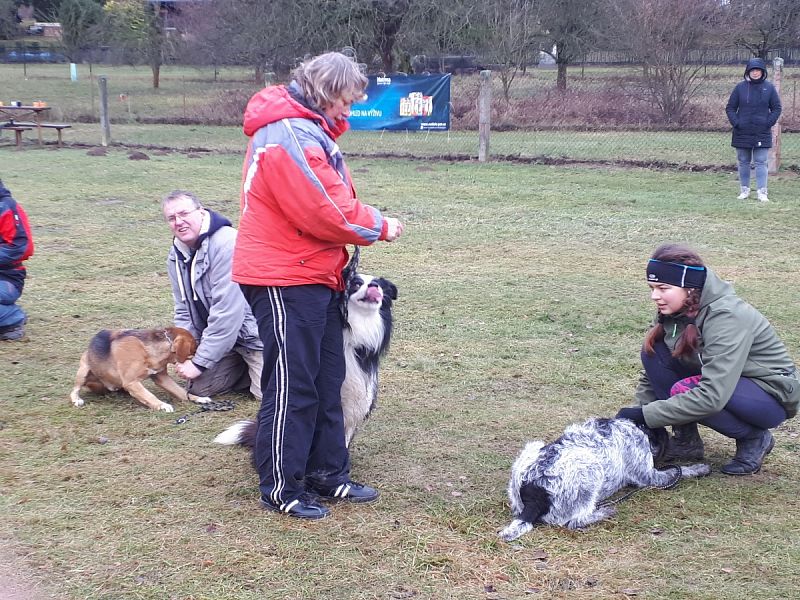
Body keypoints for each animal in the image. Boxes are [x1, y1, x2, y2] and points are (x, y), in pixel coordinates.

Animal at [69, 328, 212, 412]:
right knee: (74, 390)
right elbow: (149, 395)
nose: (200, 356)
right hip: (83, 371)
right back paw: (77, 399)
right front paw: (162, 405)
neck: (147, 351)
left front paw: (198, 398)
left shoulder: (162, 377)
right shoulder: (131, 382)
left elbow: (182, 392)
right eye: (194, 348)